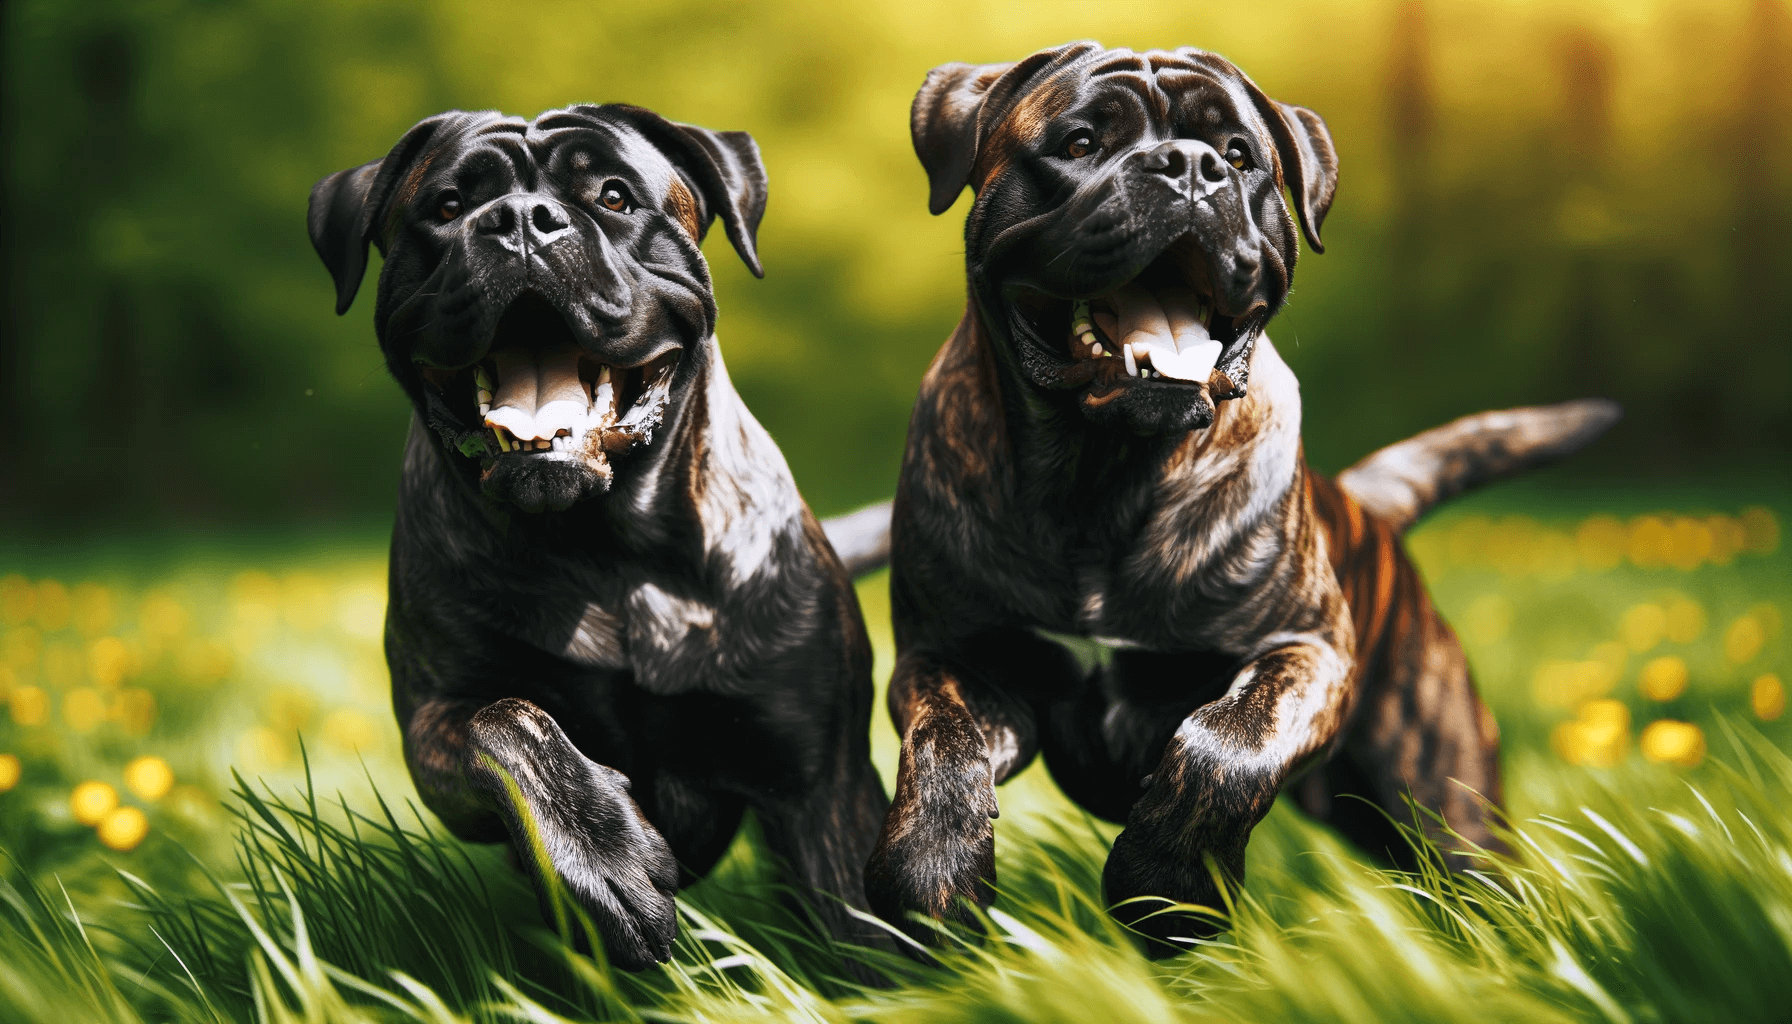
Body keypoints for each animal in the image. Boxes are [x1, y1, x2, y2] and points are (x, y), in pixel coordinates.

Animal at [311, 108, 892, 975]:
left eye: (615, 197)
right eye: (448, 207)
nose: (520, 218)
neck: (608, 548)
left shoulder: (819, 778)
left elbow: (865, 931)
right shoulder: (436, 718)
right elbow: (507, 725)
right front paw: (602, 856)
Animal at [867, 40, 1627, 954]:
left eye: (1237, 155)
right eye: (1080, 143)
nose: (1189, 166)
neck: (1106, 474)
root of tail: (1367, 508)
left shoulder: (1305, 652)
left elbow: (1226, 743)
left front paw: (1165, 886)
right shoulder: (959, 657)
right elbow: (941, 748)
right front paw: (932, 878)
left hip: (1443, 800)